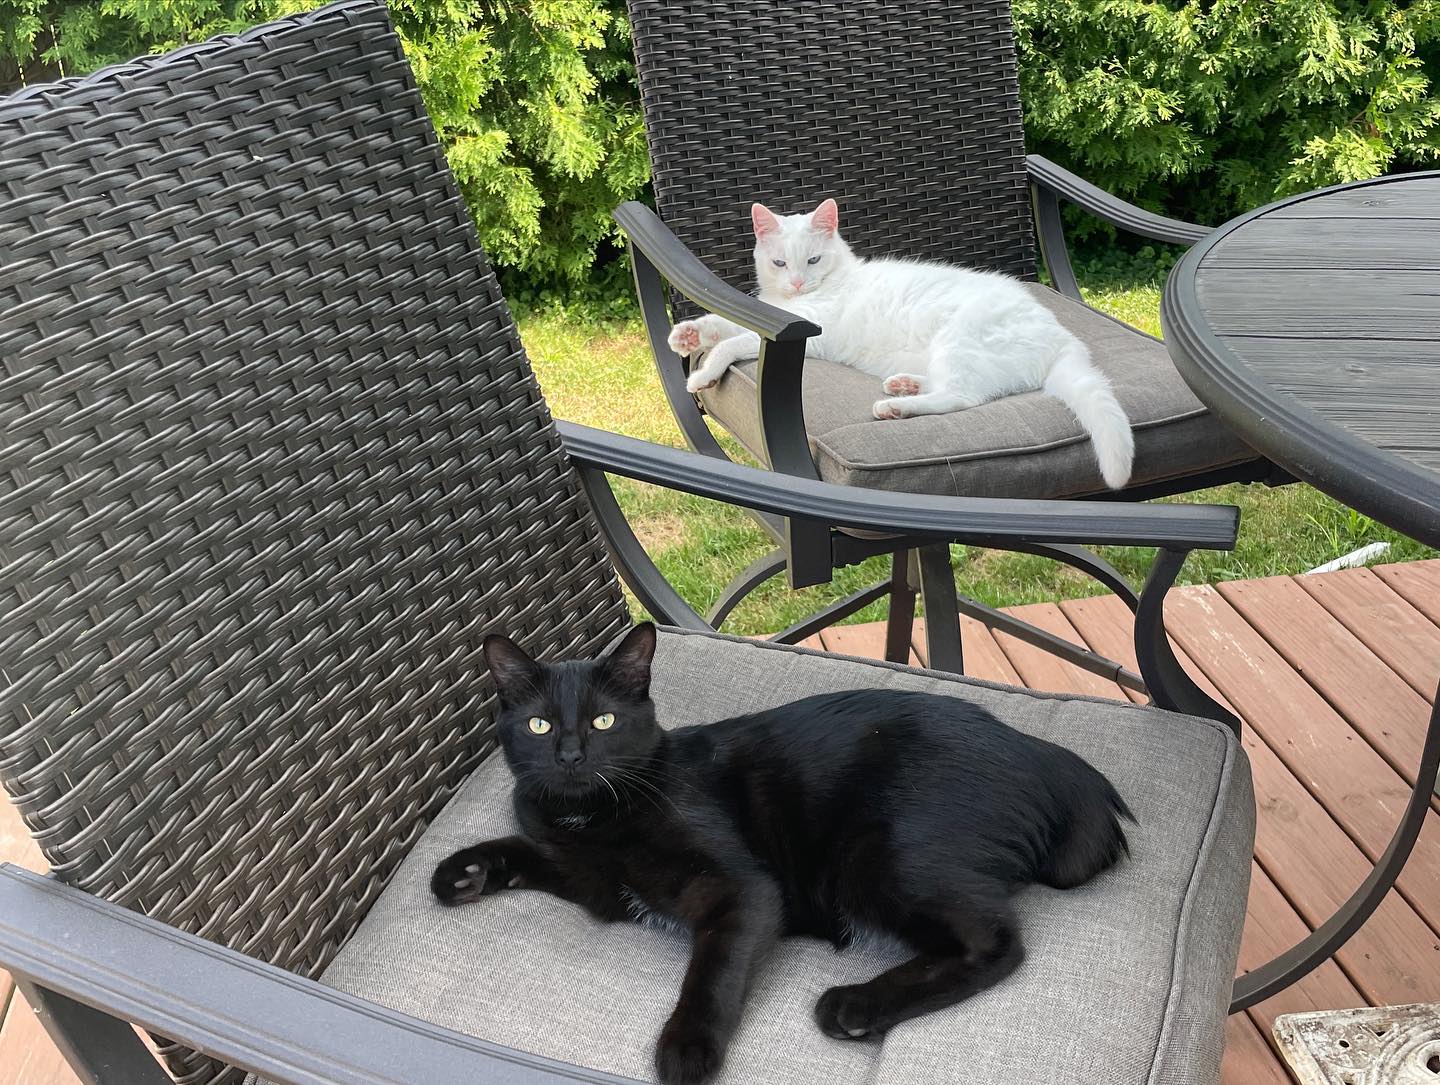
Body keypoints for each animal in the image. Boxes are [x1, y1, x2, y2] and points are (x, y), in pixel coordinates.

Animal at [432, 625, 1128, 1083]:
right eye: (540, 725)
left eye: (604, 721)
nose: (571, 756)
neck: (592, 819)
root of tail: (1047, 759)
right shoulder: (584, 876)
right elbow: (524, 849)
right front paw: (463, 872)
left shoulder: (740, 890)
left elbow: (713, 970)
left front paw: (687, 1049)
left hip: (873, 860)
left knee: (999, 943)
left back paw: (852, 1007)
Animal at [665, 198, 1134, 489]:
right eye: (780, 263)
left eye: (813, 260)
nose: (797, 282)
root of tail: (1063, 339)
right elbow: (724, 323)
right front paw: (688, 334)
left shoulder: (810, 338)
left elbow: (735, 343)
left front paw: (703, 375)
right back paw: (902, 386)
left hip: (958, 341)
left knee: (961, 398)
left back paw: (895, 408)